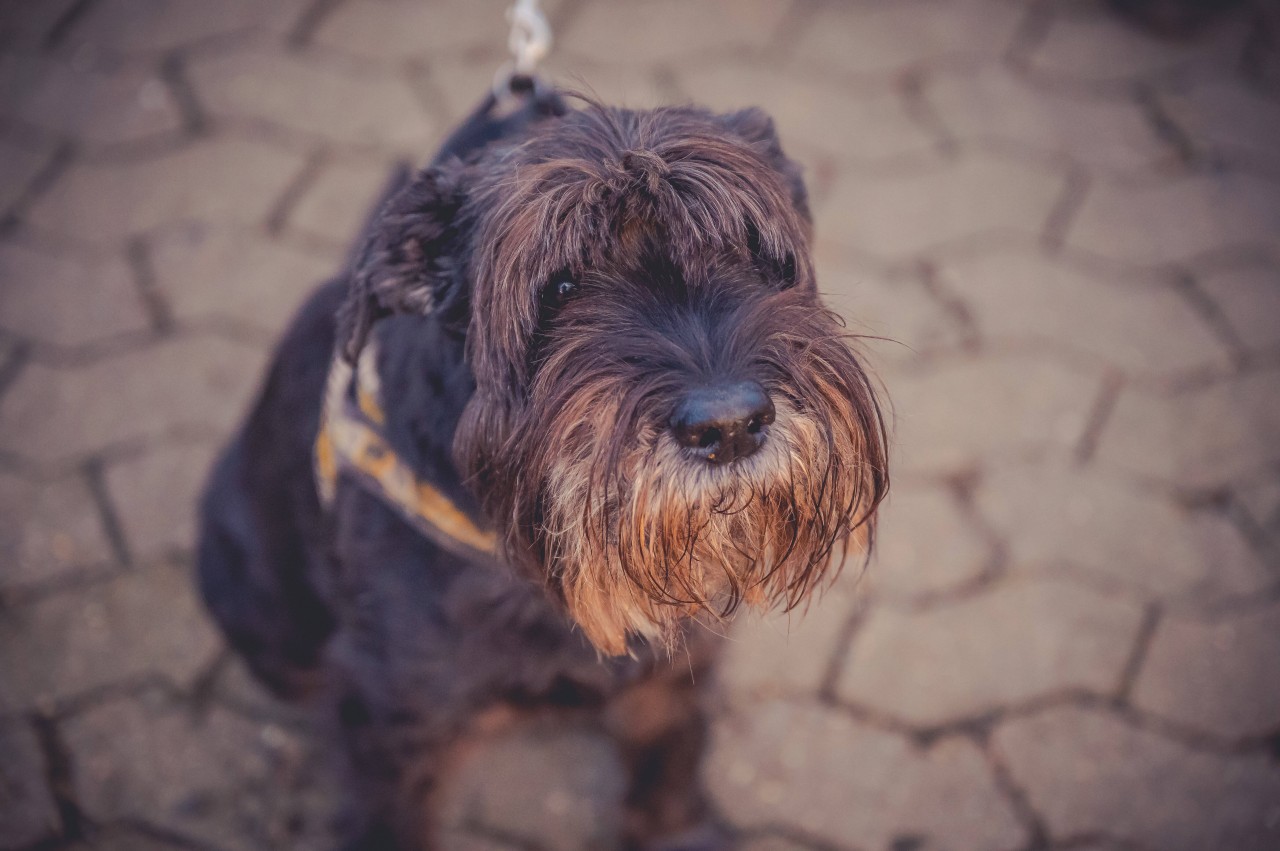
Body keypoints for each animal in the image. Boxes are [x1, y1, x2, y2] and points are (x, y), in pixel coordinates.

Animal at [197, 81, 890, 849]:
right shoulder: (389, 712)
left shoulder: (677, 661)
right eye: (559, 288)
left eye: (747, 251)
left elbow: (669, 748)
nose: (730, 424)